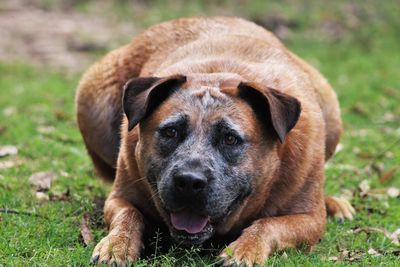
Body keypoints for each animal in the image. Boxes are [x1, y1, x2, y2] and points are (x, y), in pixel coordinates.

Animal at [76, 17, 354, 267]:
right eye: (171, 132)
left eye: (230, 139)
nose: (189, 182)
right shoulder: (120, 198)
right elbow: (129, 215)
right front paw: (116, 245)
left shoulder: (310, 218)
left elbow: (268, 224)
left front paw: (244, 250)